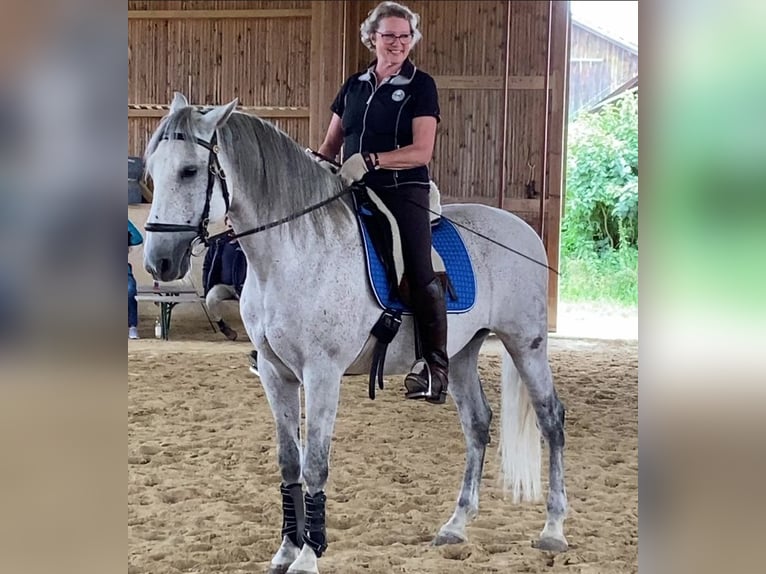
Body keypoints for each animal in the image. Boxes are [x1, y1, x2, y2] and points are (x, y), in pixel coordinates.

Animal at [142, 92, 567, 574]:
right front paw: (285, 549)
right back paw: (456, 525)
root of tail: (523, 229)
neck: (292, 253)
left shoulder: (321, 374)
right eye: (153, 169)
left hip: (526, 344)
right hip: (461, 354)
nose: (159, 262)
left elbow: (315, 464)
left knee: (551, 421)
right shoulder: (275, 373)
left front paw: (309, 555)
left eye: (189, 171)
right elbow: (288, 463)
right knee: (477, 424)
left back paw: (553, 530)